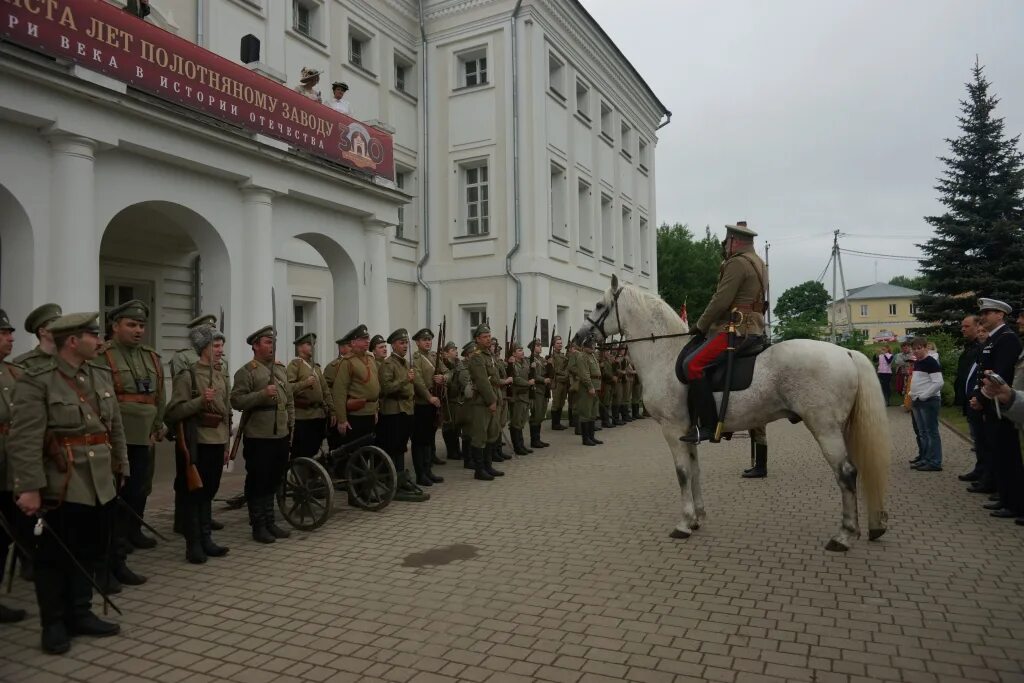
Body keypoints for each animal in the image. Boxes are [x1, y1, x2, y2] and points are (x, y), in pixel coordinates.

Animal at [577, 274, 888, 552]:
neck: (664, 354)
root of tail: (846, 352)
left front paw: (684, 523)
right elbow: (695, 471)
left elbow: (682, 473)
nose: (580, 337)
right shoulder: (688, 433)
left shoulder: (673, 430)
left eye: (599, 305)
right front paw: (698, 518)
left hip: (825, 428)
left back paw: (844, 536)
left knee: (846, 473)